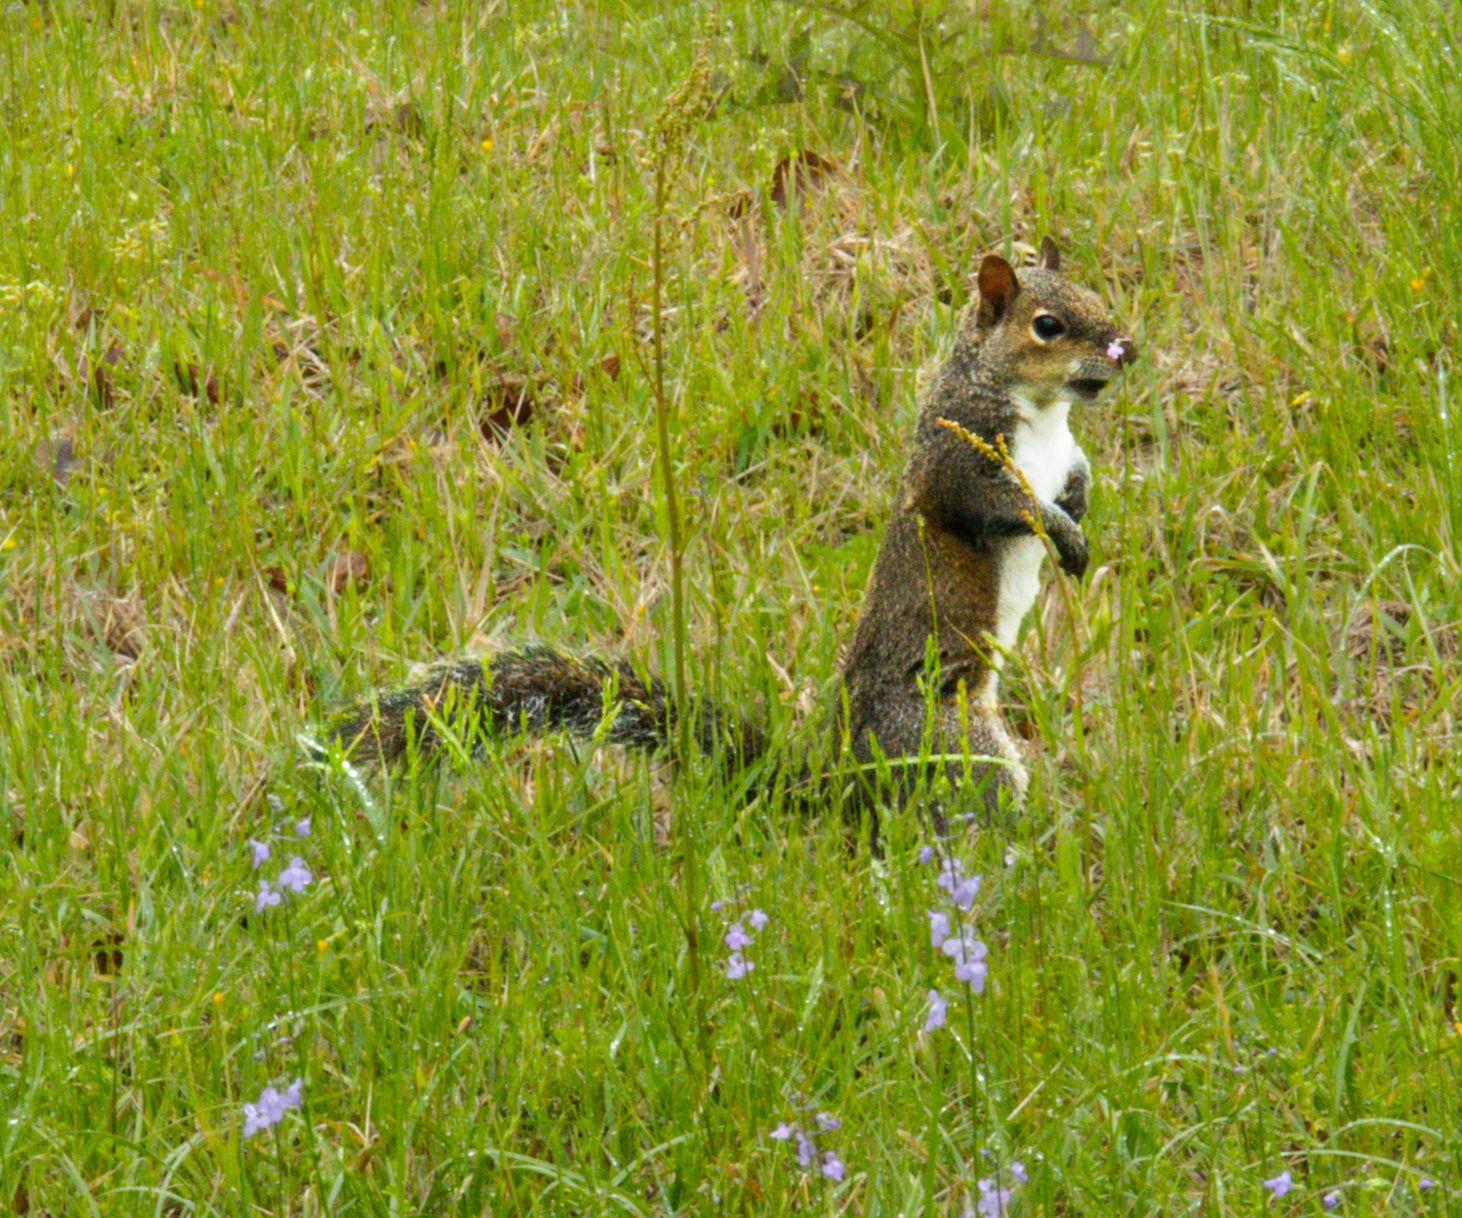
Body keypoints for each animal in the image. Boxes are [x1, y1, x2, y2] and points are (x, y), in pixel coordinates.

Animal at [318, 238, 1134, 831]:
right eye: (1048, 326)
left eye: (1097, 298)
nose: (1123, 347)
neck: (1041, 411)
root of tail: (841, 783)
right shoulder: (959, 456)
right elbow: (996, 505)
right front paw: (1060, 532)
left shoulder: (1058, 451)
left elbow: (1076, 475)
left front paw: (1080, 507)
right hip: (953, 741)